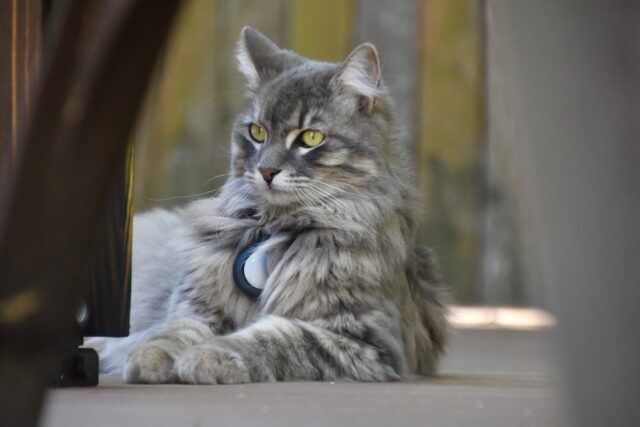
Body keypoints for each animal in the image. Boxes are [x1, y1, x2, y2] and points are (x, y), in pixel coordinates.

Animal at [90, 25, 448, 384]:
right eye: (257, 132)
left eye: (311, 138)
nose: (266, 170)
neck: (276, 224)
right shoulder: (197, 305)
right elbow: (175, 330)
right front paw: (151, 355)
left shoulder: (363, 339)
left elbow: (270, 338)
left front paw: (209, 356)